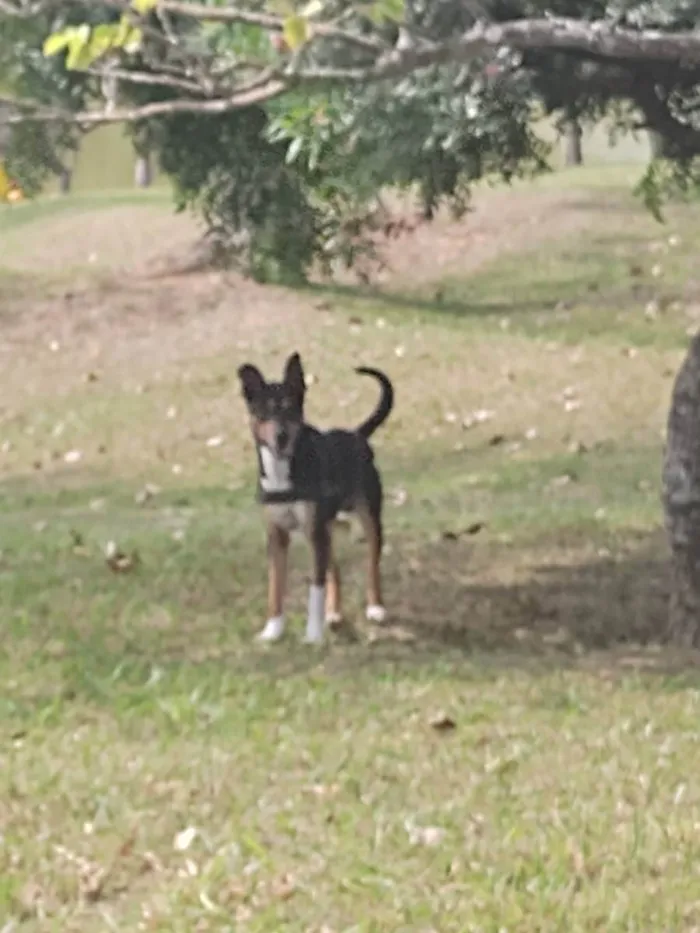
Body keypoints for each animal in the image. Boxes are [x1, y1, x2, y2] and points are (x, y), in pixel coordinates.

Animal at [239, 354, 394, 644]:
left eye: (290, 410)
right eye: (263, 413)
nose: (281, 437)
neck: (284, 472)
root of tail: (356, 435)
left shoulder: (315, 532)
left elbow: (315, 588)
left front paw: (312, 635)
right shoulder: (277, 537)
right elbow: (275, 587)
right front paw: (273, 630)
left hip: (369, 518)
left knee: (372, 563)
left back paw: (375, 607)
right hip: (327, 528)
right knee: (336, 569)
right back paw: (333, 613)